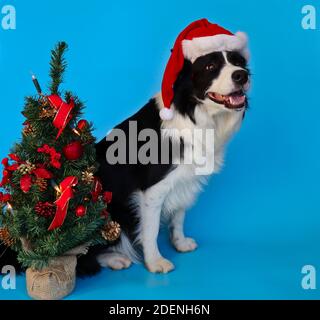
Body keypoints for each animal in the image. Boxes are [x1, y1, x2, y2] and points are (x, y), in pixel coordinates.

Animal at [76, 19, 251, 276]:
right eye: (210, 66)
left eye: (238, 62)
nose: (242, 75)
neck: (193, 111)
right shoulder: (152, 189)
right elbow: (150, 230)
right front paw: (155, 262)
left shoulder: (185, 179)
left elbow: (178, 217)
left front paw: (180, 243)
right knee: (83, 256)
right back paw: (116, 258)